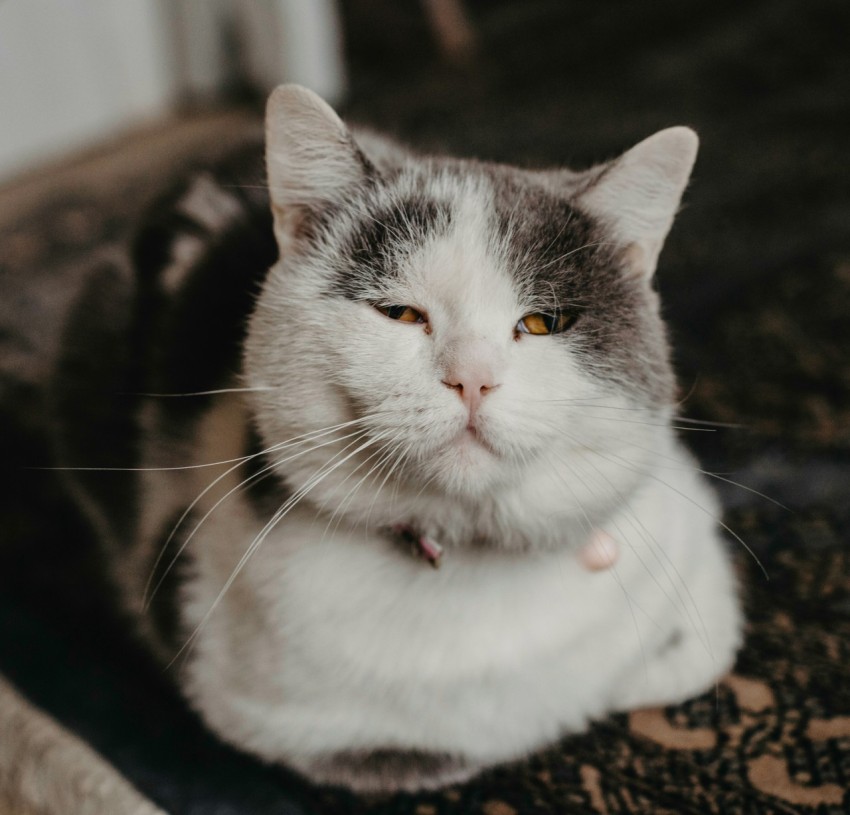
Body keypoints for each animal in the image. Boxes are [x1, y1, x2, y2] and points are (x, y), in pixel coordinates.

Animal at [54, 86, 744, 792]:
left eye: (541, 323)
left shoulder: (693, 538)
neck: (470, 562)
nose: (472, 377)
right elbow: (457, 741)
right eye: (400, 313)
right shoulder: (278, 715)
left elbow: (688, 657)